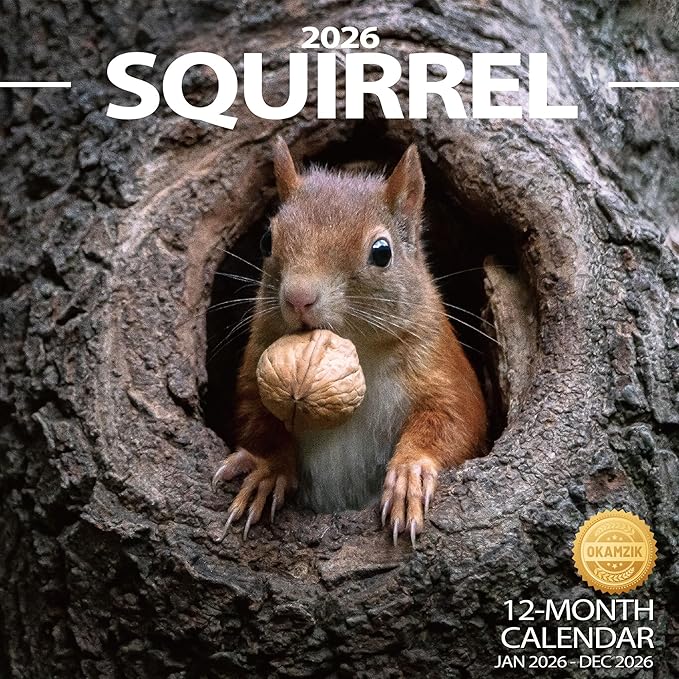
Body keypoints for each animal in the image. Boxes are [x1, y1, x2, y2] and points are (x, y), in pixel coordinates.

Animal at [212, 138, 487, 545]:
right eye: (266, 240)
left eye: (382, 252)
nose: (298, 297)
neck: (358, 348)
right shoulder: (257, 360)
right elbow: (256, 420)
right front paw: (267, 470)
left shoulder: (440, 364)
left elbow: (456, 420)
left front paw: (409, 474)